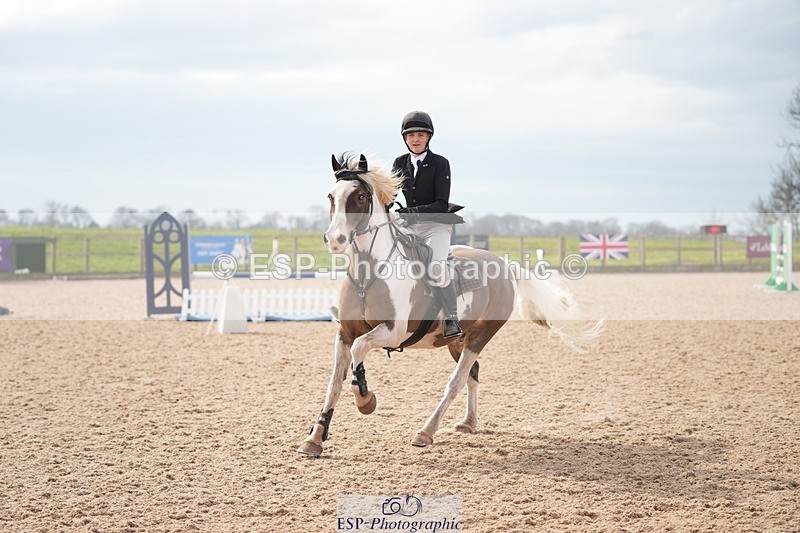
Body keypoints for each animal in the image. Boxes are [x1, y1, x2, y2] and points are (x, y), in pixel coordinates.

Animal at [297, 153, 603, 457]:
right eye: (331, 196)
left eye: (360, 196)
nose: (335, 240)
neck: (369, 274)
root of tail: (505, 265)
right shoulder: (345, 333)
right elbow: (334, 384)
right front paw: (315, 438)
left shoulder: (392, 331)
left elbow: (360, 351)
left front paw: (365, 400)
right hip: (456, 340)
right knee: (472, 373)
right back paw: (468, 423)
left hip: (481, 335)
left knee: (456, 381)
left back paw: (426, 431)